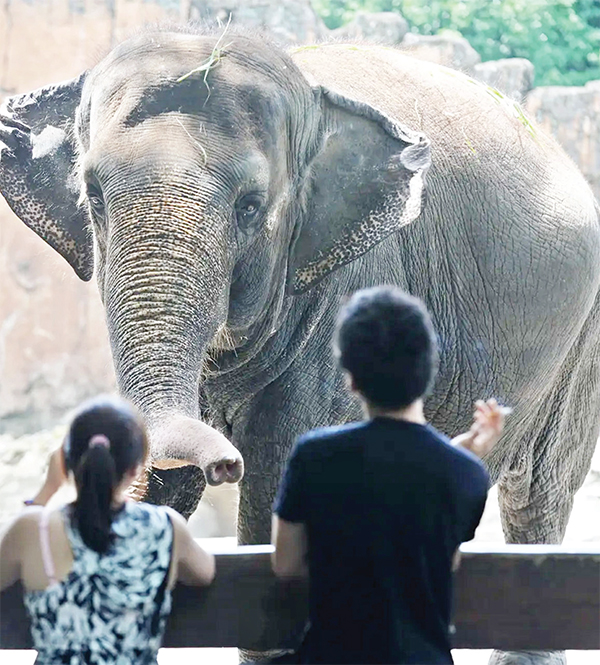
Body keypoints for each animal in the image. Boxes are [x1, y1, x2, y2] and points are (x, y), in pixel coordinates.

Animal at [1, 27, 600, 600]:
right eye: (94, 198)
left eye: (250, 207)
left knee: (538, 492)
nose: (225, 464)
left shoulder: (352, 286)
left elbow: (280, 468)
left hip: (577, 344)